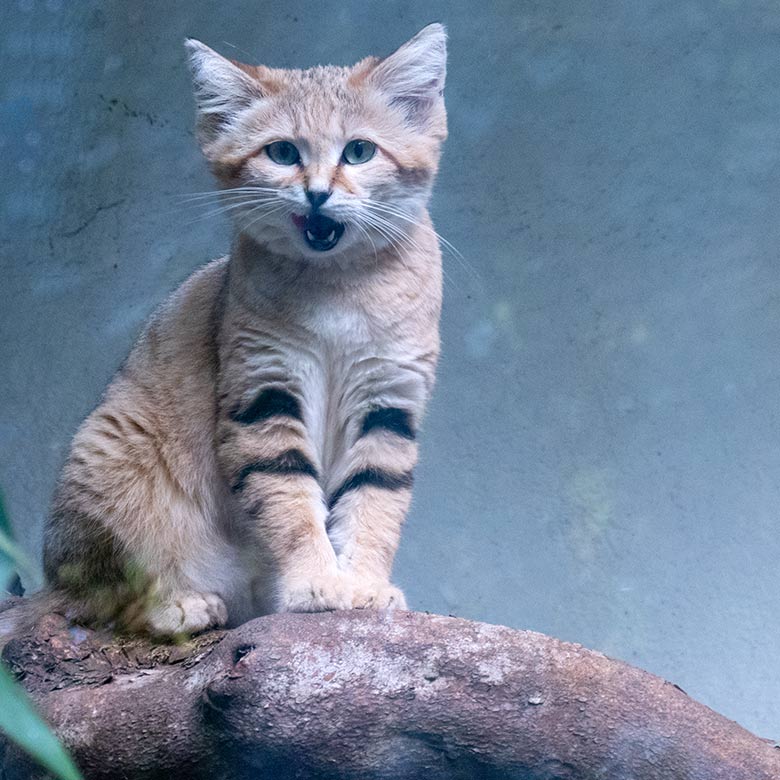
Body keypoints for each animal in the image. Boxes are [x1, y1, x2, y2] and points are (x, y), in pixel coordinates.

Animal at [39, 24, 448, 636]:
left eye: (359, 151)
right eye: (282, 152)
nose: (318, 193)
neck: (338, 285)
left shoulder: (389, 400)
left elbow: (376, 502)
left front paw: (366, 585)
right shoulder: (264, 390)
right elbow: (289, 499)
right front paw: (316, 583)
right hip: (111, 465)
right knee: (94, 597)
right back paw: (178, 605)